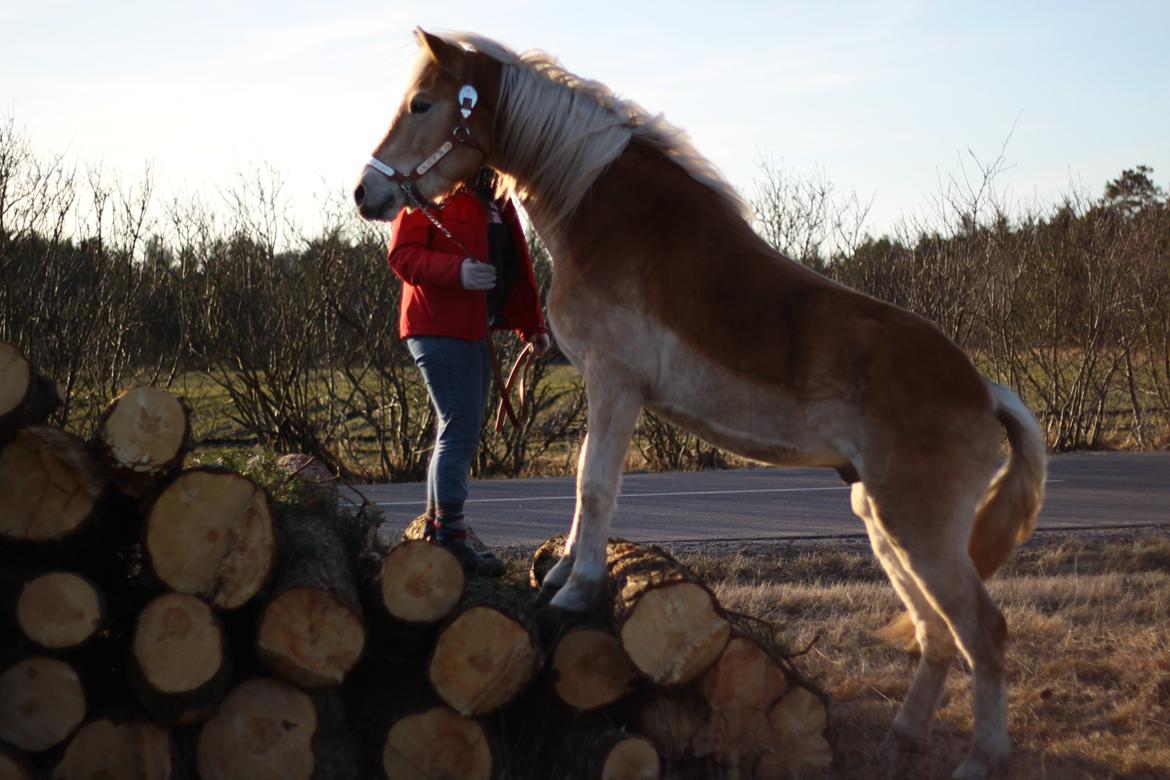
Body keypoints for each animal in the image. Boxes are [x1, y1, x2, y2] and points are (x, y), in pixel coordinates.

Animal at [353, 27, 1043, 776]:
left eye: (422, 103)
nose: (365, 192)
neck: (610, 217)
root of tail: (983, 391)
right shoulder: (607, 386)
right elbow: (584, 483)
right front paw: (561, 572)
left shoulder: (615, 382)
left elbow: (595, 484)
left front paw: (575, 587)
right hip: (884, 521)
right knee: (936, 631)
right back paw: (901, 740)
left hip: (919, 527)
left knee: (984, 630)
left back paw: (981, 758)